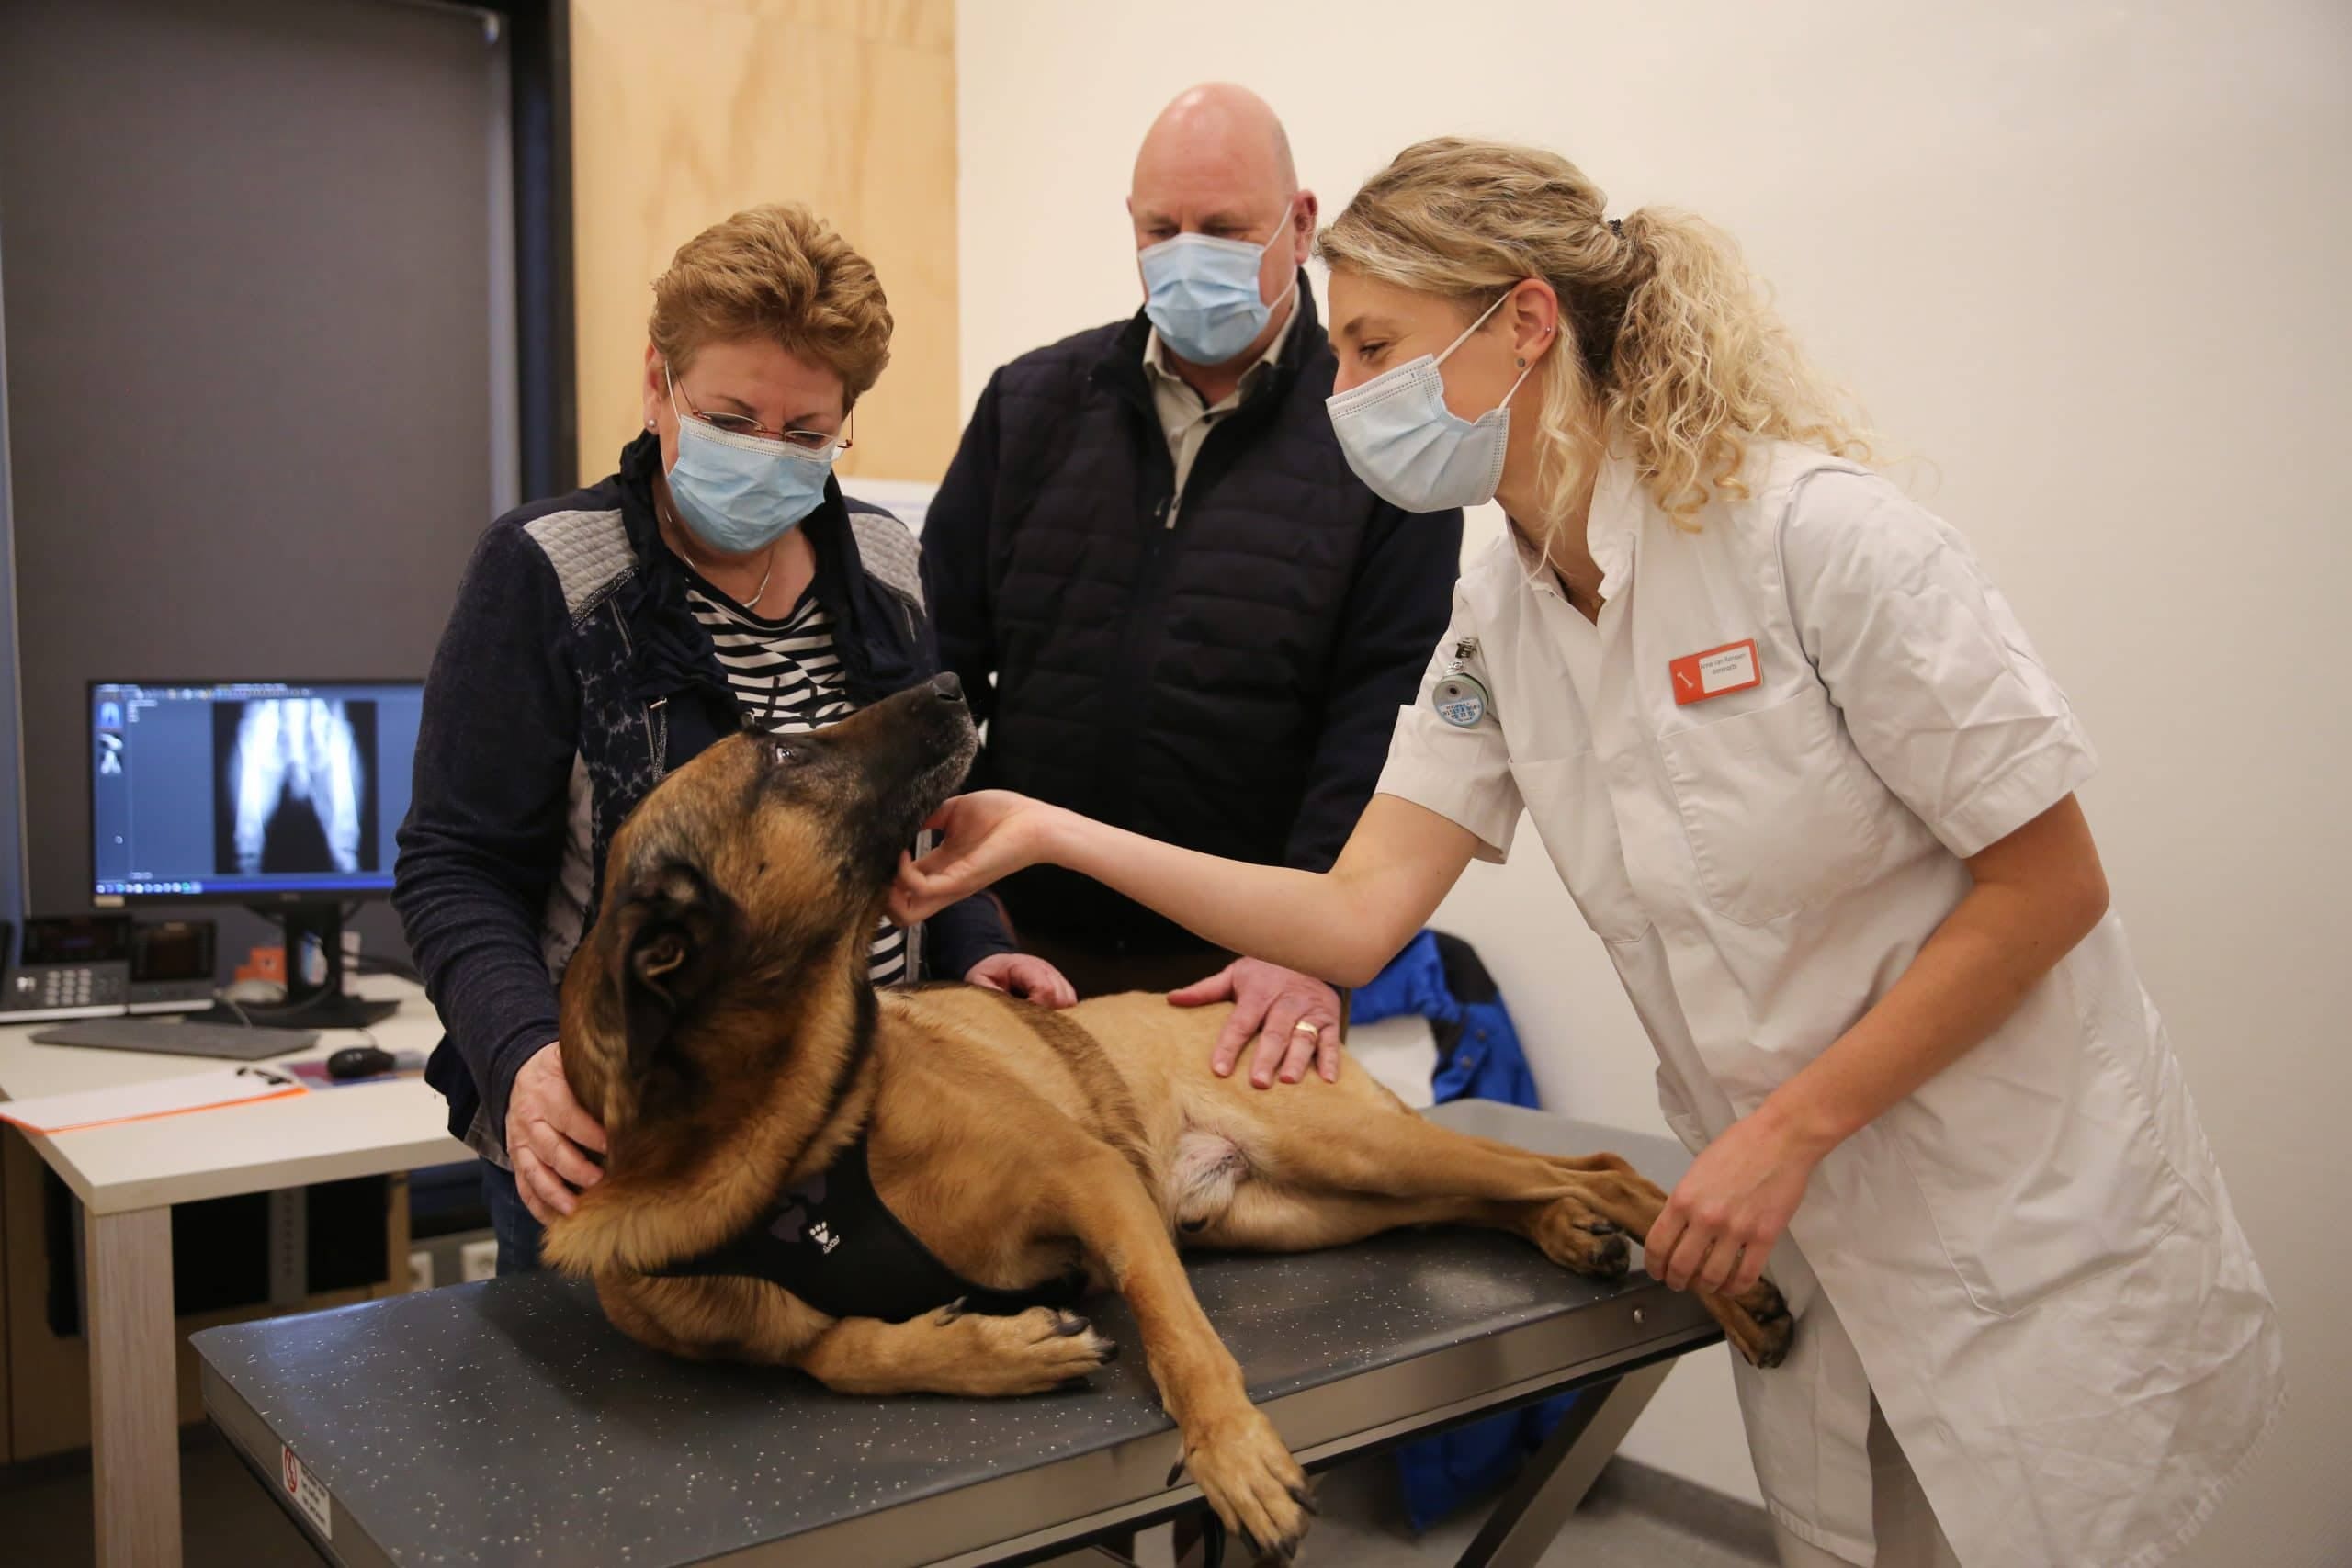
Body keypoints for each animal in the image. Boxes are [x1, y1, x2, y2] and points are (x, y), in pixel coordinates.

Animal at [538, 677, 1778, 1561]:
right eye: (785, 755)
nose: (950, 683)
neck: (792, 1147)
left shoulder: (1091, 1180)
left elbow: (1181, 1338)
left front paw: (1232, 1454)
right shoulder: (796, 1321)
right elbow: (841, 1355)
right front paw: (999, 1349)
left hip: (1349, 1148)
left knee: (1597, 1164)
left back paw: (1698, 1264)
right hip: (1316, 1207)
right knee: (1511, 1188)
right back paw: (1574, 1236)